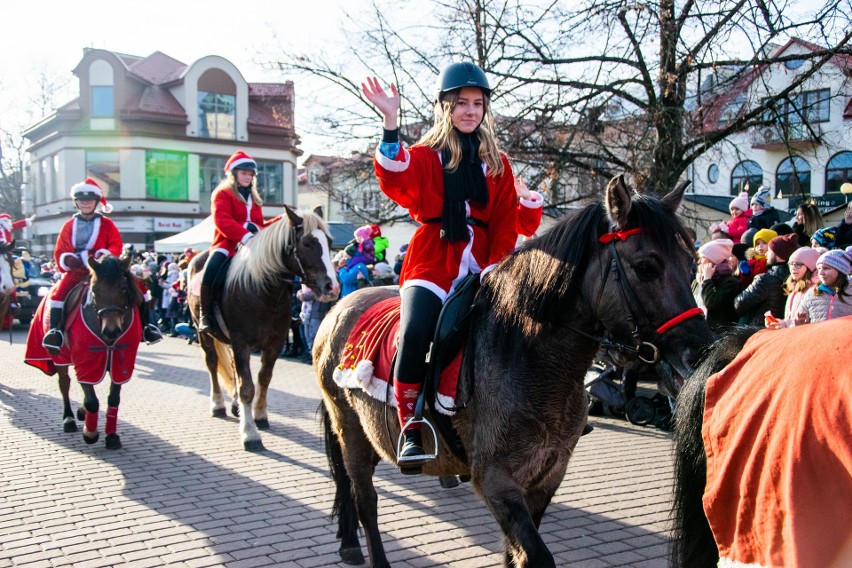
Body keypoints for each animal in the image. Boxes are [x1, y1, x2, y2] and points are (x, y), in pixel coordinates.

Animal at [23, 254, 144, 448]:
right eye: (94, 290)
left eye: (123, 288)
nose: (111, 330)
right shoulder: (86, 362)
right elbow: (92, 400)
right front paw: (90, 433)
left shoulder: (120, 364)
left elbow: (113, 398)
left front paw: (111, 436)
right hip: (61, 358)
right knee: (64, 384)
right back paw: (69, 419)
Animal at [190, 206, 340, 450]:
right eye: (307, 243)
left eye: (329, 241)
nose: (332, 287)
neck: (263, 291)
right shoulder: (241, 342)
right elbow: (247, 387)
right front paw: (250, 434)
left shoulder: (275, 343)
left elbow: (263, 379)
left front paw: (259, 416)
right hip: (201, 330)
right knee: (212, 363)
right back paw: (218, 404)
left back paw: (235, 406)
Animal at [312, 175, 712, 564]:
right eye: (647, 267)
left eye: (691, 264)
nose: (701, 350)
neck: (530, 358)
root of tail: (337, 309)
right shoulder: (495, 481)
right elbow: (535, 555)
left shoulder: (546, 477)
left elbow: (515, 553)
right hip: (350, 429)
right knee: (365, 500)